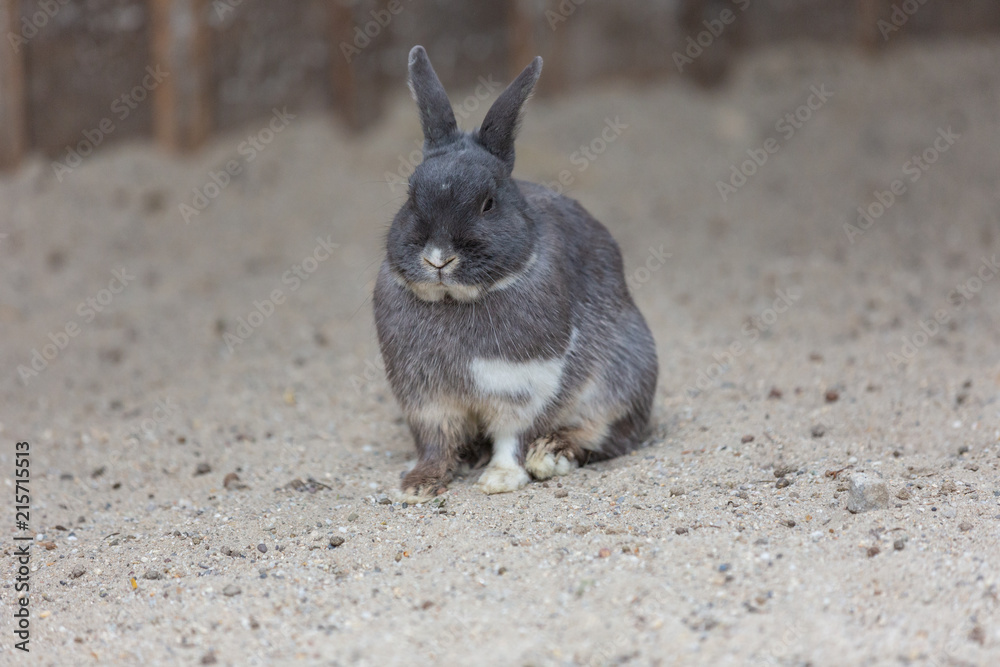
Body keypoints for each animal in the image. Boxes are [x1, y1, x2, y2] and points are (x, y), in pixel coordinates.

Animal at [374, 46, 658, 502]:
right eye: (410, 196)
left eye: (488, 203)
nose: (438, 259)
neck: (457, 299)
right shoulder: (426, 398)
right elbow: (436, 442)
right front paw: (418, 485)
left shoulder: (527, 387)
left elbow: (513, 437)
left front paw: (500, 480)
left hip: (624, 371)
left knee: (610, 433)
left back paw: (552, 454)